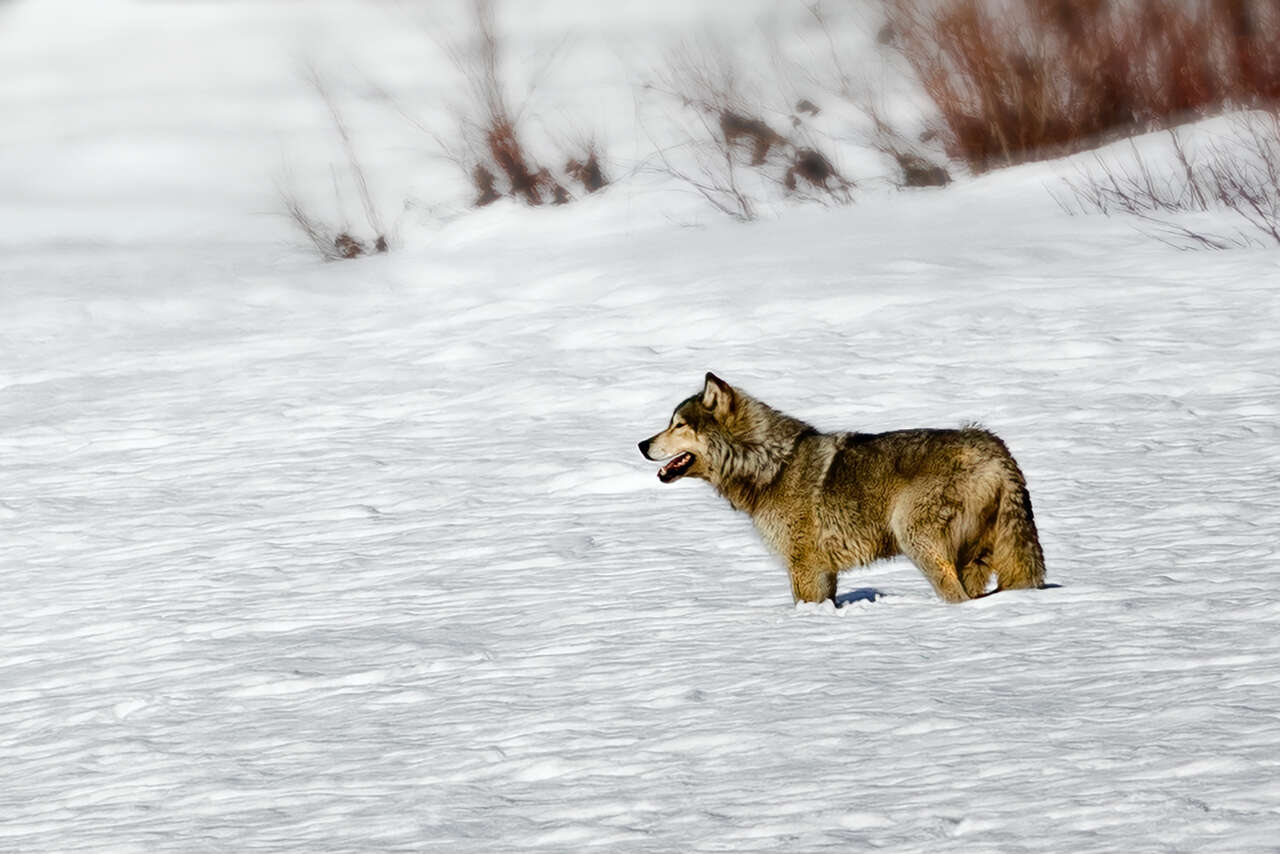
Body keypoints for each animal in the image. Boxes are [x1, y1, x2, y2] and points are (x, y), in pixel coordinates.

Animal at [638, 373, 1045, 604]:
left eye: (677, 425)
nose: (641, 444)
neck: (772, 463)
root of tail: (995, 448)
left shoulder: (804, 568)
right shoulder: (825, 572)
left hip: (917, 541)